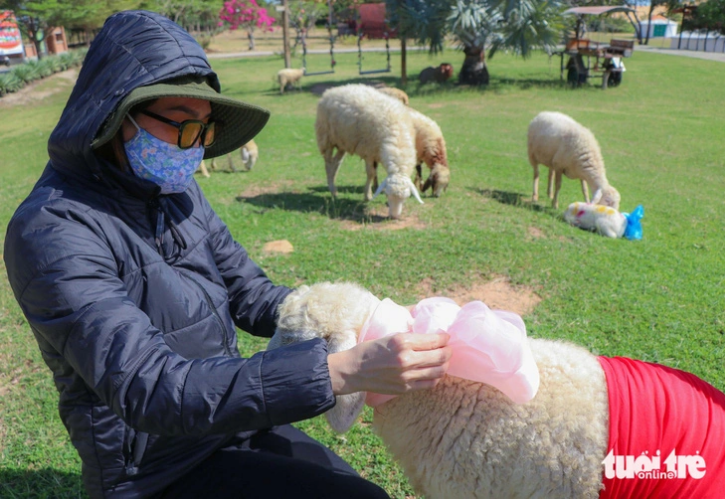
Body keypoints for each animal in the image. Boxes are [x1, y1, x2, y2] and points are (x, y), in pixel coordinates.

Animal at [314, 84, 422, 219]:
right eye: (387, 194)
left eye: (406, 198)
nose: (394, 216)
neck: (398, 140)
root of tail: (332, 90)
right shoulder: (369, 151)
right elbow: (371, 174)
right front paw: (367, 196)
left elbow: (373, 173)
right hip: (326, 137)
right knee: (328, 163)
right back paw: (332, 189)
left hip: (342, 142)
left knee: (336, 163)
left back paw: (334, 188)